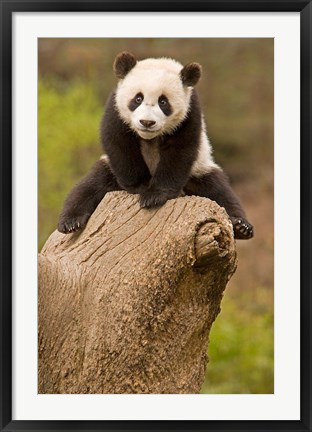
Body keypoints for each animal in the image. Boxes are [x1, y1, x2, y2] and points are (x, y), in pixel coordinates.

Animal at [58, 51, 254, 240]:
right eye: (138, 99)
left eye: (163, 102)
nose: (147, 122)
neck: (149, 138)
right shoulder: (115, 109)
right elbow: (119, 144)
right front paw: (141, 187)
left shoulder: (190, 114)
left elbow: (179, 152)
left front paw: (154, 196)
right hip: (109, 171)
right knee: (89, 187)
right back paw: (71, 222)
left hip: (199, 170)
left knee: (218, 190)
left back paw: (241, 226)